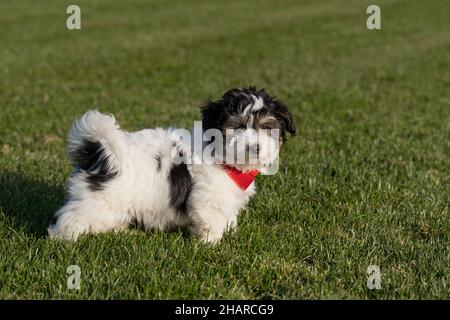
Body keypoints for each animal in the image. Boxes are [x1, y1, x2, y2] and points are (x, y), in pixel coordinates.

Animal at [48, 87, 296, 242]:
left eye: (266, 127)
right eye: (238, 127)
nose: (255, 147)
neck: (219, 153)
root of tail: (100, 152)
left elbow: (228, 214)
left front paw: (230, 231)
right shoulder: (208, 196)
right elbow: (211, 218)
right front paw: (211, 243)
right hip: (98, 200)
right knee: (74, 216)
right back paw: (62, 238)